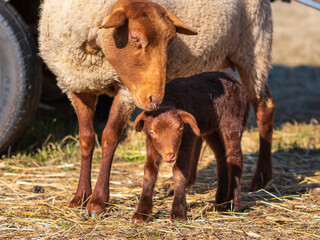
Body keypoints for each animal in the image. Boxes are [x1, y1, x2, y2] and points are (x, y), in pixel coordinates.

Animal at [132, 71, 250, 223]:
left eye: (180, 130)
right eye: (152, 132)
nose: (169, 155)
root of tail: (236, 79)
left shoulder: (188, 139)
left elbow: (179, 171)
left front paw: (178, 212)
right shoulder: (151, 145)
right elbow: (149, 172)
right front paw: (141, 213)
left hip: (233, 119)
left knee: (234, 158)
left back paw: (234, 205)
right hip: (211, 129)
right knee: (221, 156)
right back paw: (220, 202)